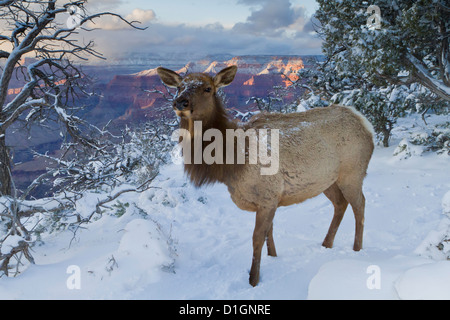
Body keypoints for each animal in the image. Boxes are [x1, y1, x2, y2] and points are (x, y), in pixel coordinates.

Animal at [156, 66, 374, 286]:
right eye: (180, 87)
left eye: (208, 89)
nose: (180, 102)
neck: (231, 165)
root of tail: (365, 123)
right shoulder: (270, 198)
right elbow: (270, 231)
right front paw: (273, 257)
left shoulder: (267, 196)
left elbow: (257, 238)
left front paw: (253, 279)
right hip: (327, 180)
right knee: (340, 204)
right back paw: (326, 243)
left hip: (352, 172)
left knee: (360, 204)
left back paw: (357, 248)